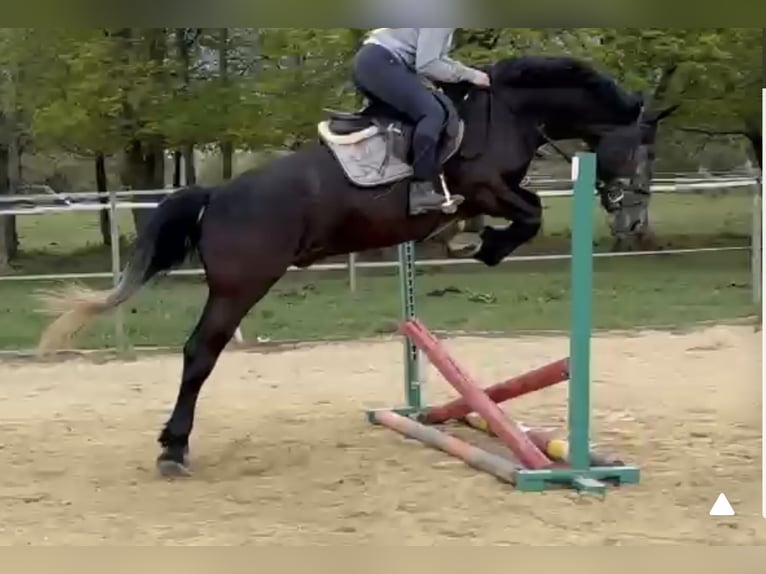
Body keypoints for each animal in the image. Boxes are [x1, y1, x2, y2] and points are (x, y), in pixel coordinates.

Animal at [35, 54, 677, 477]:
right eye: (640, 150)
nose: (631, 212)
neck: (512, 110)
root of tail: (216, 195)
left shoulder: (486, 194)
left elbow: (519, 214)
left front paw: (464, 240)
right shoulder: (484, 187)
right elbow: (529, 215)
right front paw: (484, 247)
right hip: (241, 286)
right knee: (199, 354)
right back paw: (173, 448)